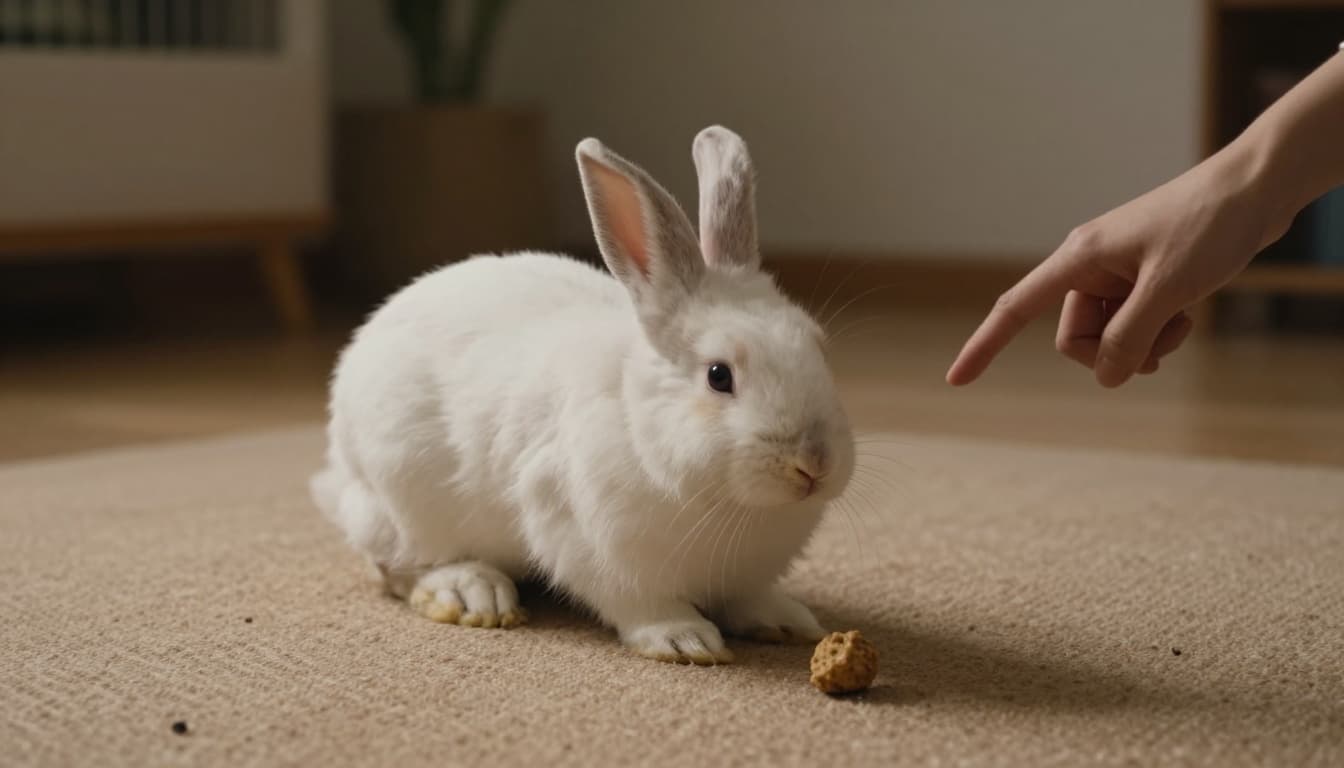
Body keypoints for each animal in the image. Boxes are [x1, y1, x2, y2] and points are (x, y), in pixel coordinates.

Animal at [311, 125, 855, 665]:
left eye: (820, 347)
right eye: (719, 376)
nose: (813, 463)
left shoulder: (741, 576)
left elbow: (747, 598)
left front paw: (785, 621)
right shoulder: (586, 539)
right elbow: (639, 603)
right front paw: (685, 641)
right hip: (401, 502)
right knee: (398, 567)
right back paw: (472, 592)